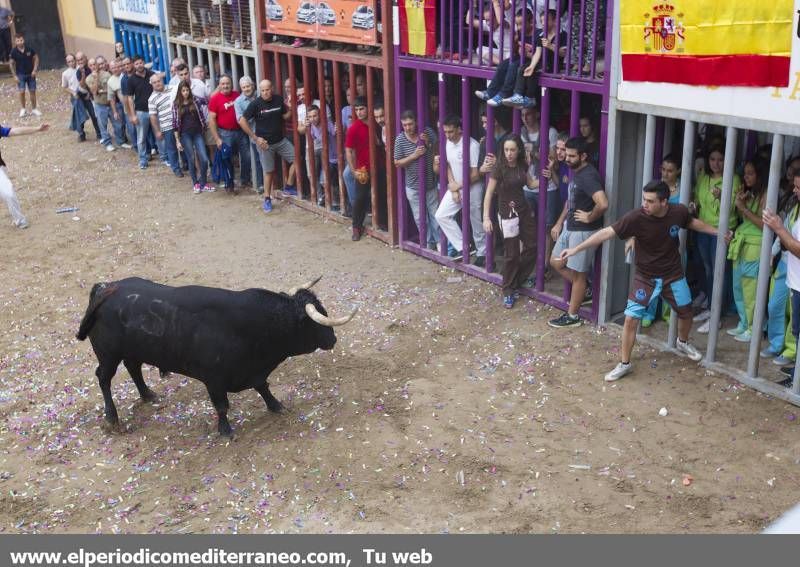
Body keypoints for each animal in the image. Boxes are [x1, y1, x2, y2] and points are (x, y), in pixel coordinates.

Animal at [76, 278, 356, 438]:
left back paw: (148, 395)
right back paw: (112, 419)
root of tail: (106, 289)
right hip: (108, 355)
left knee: (133, 367)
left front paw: (276, 405)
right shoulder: (214, 380)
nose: (332, 339)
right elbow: (222, 406)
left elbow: (263, 386)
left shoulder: (254, 369)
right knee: (104, 378)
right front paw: (226, 431)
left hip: (132, 350)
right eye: (314, 322)